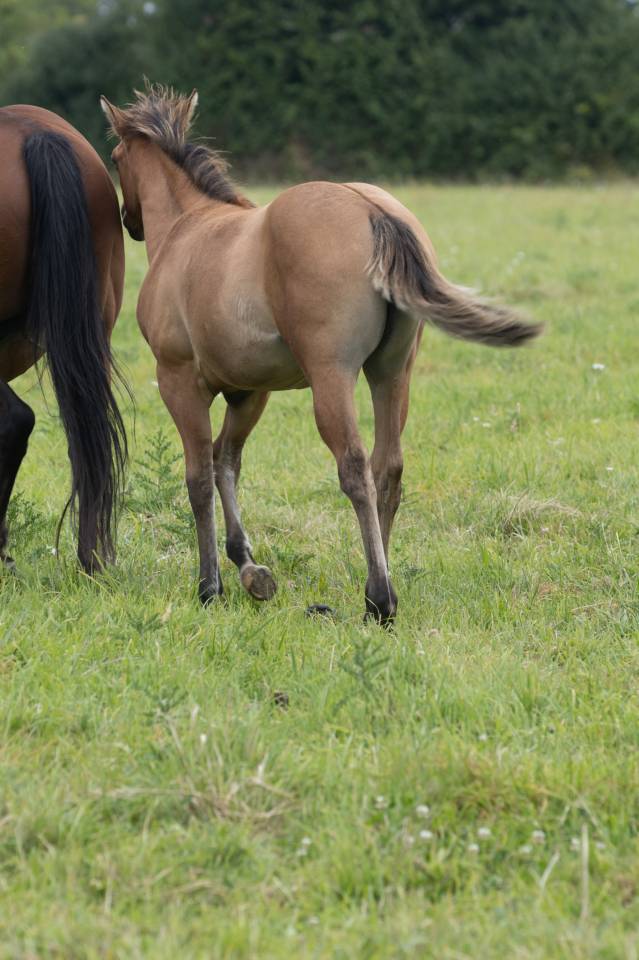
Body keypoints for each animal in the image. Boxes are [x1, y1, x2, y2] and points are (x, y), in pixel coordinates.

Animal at [101, 85, 541, 624]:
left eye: (116, 158)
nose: (131, 222)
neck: (188, 228)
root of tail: (373, 210)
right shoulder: (249, 391)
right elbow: (227, 461)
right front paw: (250, 569)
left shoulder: (179, 380)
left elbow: (199, 475)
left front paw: (210, 587)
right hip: (392, 373)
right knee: (388, 467)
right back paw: (377, 585)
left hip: (332, 376)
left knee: (354, 468)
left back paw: (380, 599)